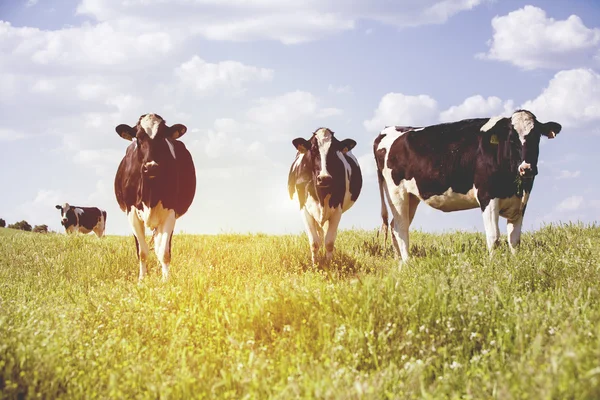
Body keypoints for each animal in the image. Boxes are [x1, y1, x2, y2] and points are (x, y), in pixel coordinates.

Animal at [113, 112, 196, 282]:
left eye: (162, 137)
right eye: (138, 138)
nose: (151, 167)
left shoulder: (170, 212)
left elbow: (164, 252)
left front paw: (165, 281)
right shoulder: (131, 213)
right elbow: (142, 252)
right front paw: (141, 280)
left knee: (160, 246)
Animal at [288, 128, 364, 264]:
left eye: (334, 150)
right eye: (313, 149)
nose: (324, 178)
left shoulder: (337, 209)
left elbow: (329, 242)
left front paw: (329, 264)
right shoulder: (304, 209)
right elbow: (314, 242)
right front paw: (315, 265)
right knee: (319, 234)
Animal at [376, 109, 564, 266]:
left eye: (536, 137)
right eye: (512, 139)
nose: (527, 168)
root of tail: (388, 129)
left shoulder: (521, 202)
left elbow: (514, 239)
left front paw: (516, 263)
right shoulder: (487, 196)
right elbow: (494, 236)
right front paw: (494, 265)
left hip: (412, 197)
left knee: (394, 226)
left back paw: (399, 260)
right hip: (397, 193)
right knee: (400, 228)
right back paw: (408, 262)